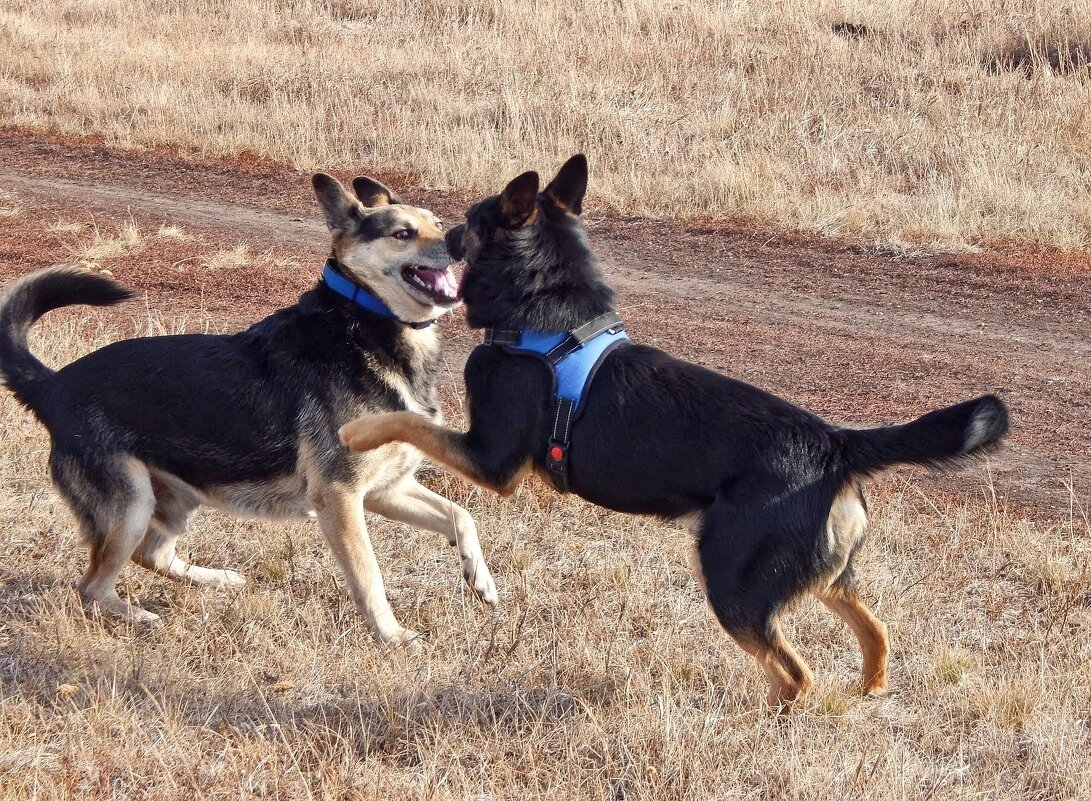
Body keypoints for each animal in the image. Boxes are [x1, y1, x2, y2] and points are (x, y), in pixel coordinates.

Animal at [0, 172, 495, 641]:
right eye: (402, 233)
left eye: (436, 224)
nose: (459, 241)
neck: (366, 321)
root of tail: (53, 385)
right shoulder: (340, 496)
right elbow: (369, 576)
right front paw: (391, 635)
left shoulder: (385, 489)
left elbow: (461, 516)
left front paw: (481, 579)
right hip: (131, 505)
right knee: (91, 587)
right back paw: (139, 616)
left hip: (175, 501)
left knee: (150, 555)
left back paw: (215, 578)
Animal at [338, 153, 1003, 707]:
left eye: (473, 222)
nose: (443, 233)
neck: (546, 312)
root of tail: (837, 443)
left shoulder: (493, 461)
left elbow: (411, 420)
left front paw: (358, 430)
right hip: (820, 572)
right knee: (876, 629)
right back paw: (869, 692)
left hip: (734, 582)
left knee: (795, 673)